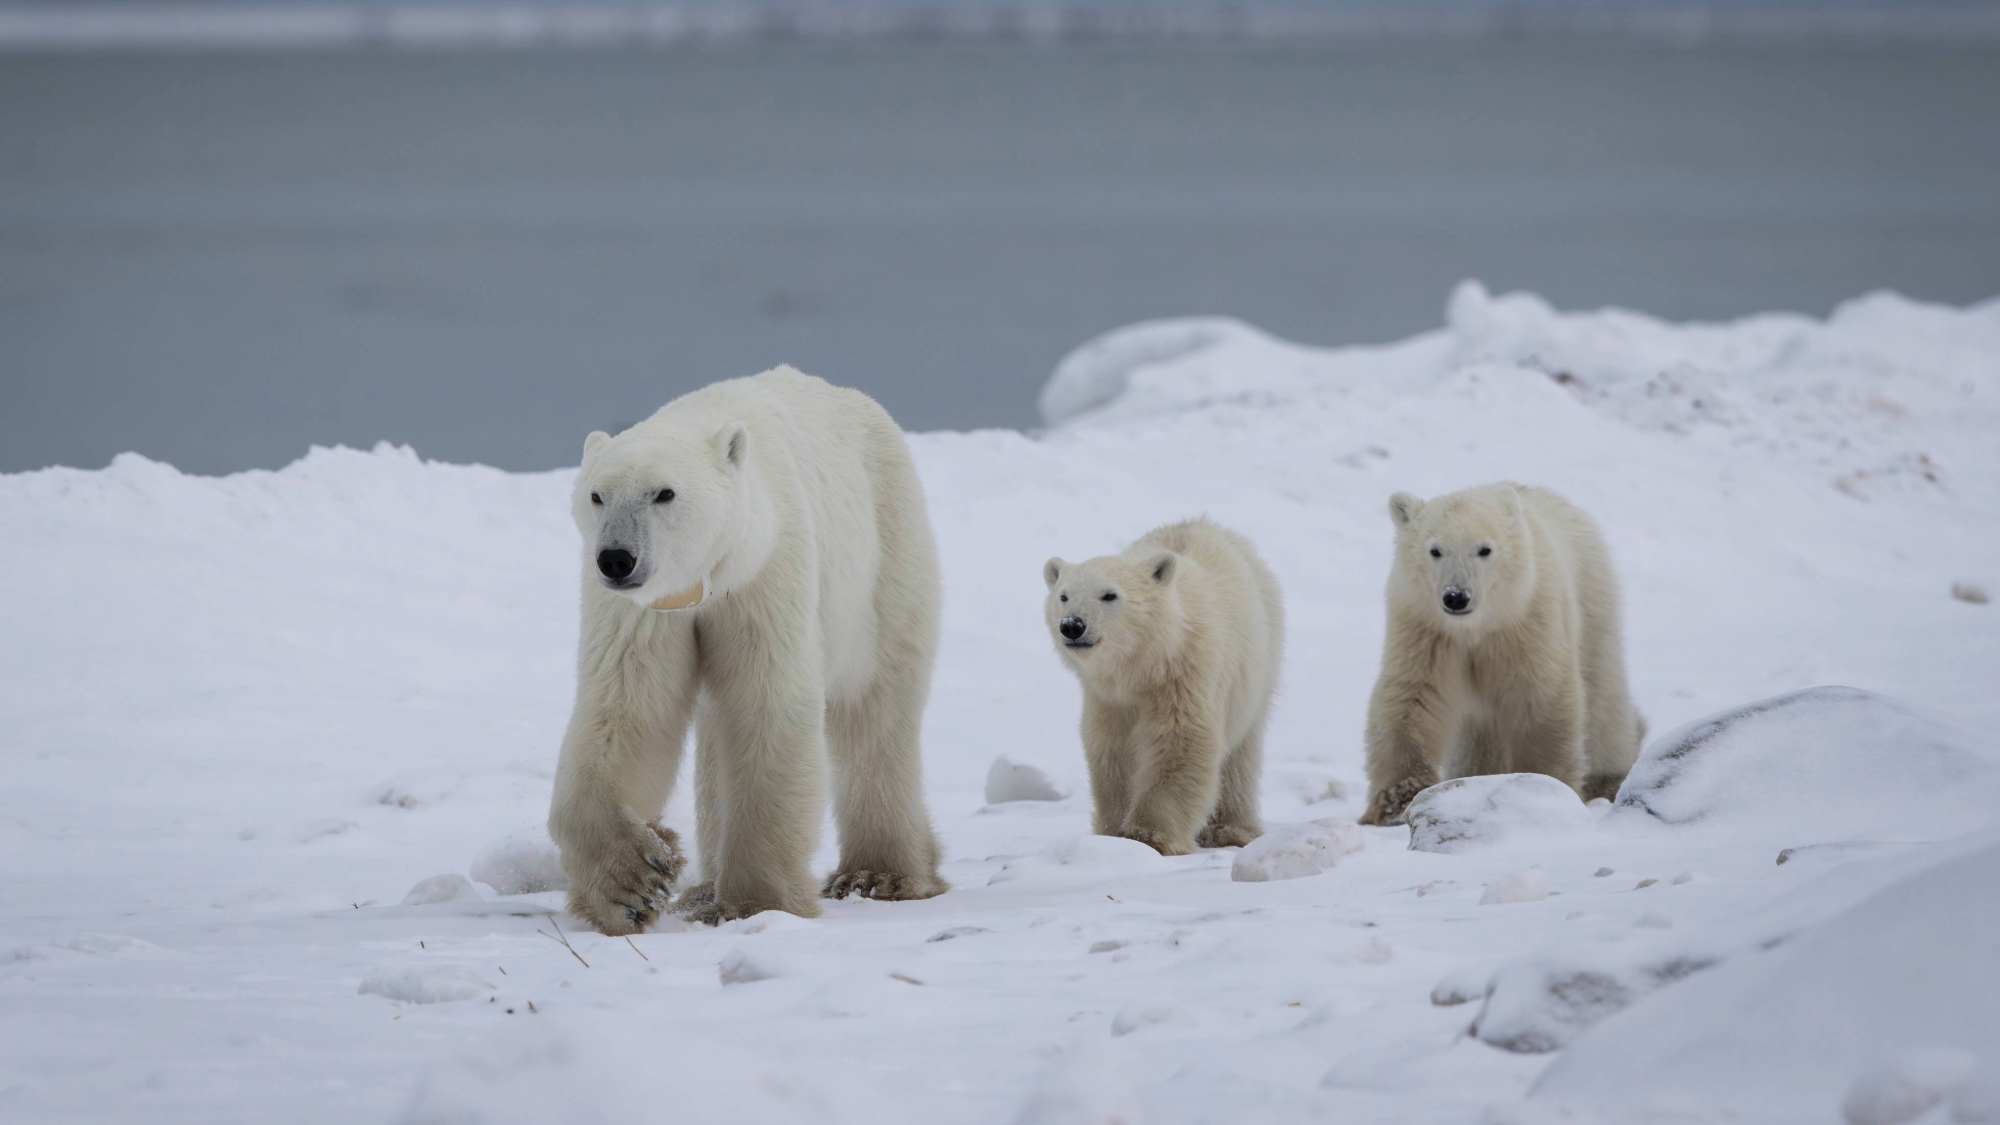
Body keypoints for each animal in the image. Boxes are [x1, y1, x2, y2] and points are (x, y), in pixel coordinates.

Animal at [547, 366, 948, 933]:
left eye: (664, 493)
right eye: (597, 495)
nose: (616, 559)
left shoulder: (765, 572)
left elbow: (767, 705)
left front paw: (757, 903)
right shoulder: (648, 612)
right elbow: (627, 709)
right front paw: (632, 883)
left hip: (885, 553)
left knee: (876, 709)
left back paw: (879, 875)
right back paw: (703, 890)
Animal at [1043, 518, 1285, 856]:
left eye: (1109, 595)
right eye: (1064, 595)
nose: (1072, 625)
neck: (1143, 664)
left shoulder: (1185, 675)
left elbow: (1180, 741)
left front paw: (1150, 835)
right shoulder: (1108, 698)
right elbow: (1112, 749)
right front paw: (1113, 832)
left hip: (1257, 667)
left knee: (1241, 755)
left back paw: (1229, 830)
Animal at [1359, 483, 1644, 826]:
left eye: (1485, 549)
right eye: (1435, 550)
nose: (1456, 597)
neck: (1477, 626)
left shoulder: (1528, 619)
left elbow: (1541, 696)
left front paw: (1545, 785)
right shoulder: (1424, 628)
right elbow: (1411, 696)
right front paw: (1395, 802)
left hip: (1593, 596)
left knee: (1603, 691)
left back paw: (1608, 778)